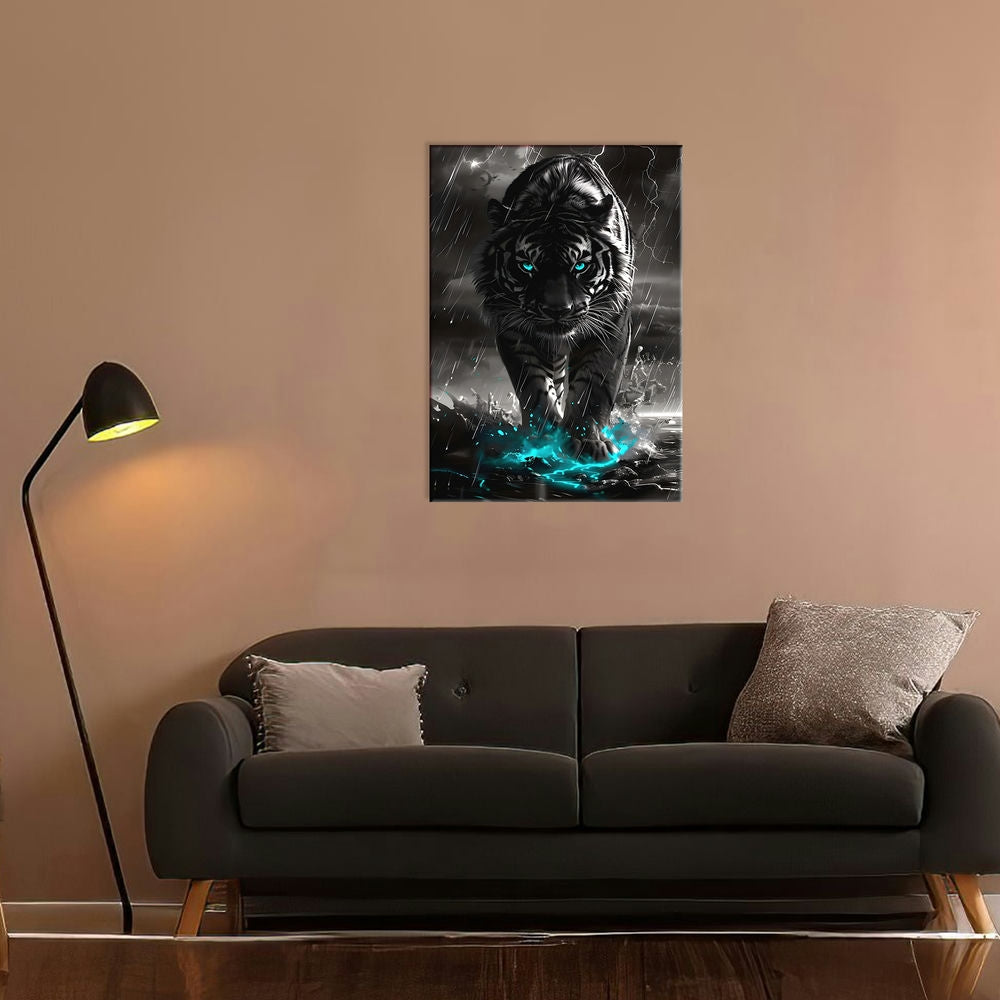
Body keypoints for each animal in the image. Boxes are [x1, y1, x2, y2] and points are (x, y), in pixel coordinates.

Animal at [474, 154, 635, 460]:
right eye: (527, 266)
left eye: (580, 266)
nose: (558, 311)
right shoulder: (512, 328)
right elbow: (534, 387)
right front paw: (544, 439)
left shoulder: (612, 325)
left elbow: (594, 388)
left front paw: (587, 442)